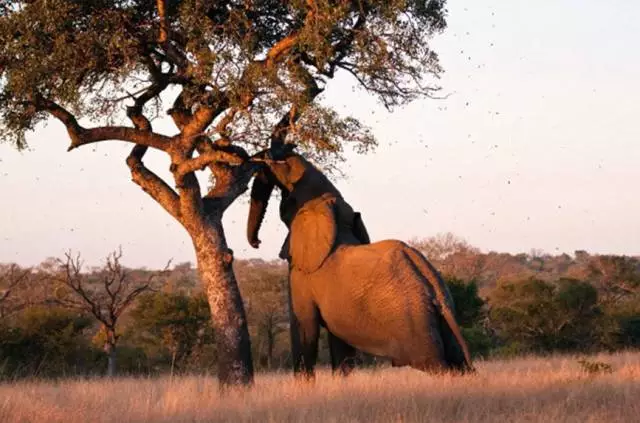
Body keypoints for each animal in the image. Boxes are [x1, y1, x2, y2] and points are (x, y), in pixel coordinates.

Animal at [248, 145, 472, 378]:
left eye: (287, 204)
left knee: (436, 364)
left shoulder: (303, 274)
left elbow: (304, 328)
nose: (256, 242)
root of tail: (436, 290)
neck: (332, 213)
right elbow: (340, 344)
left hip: (414, 321)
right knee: (457, 362)